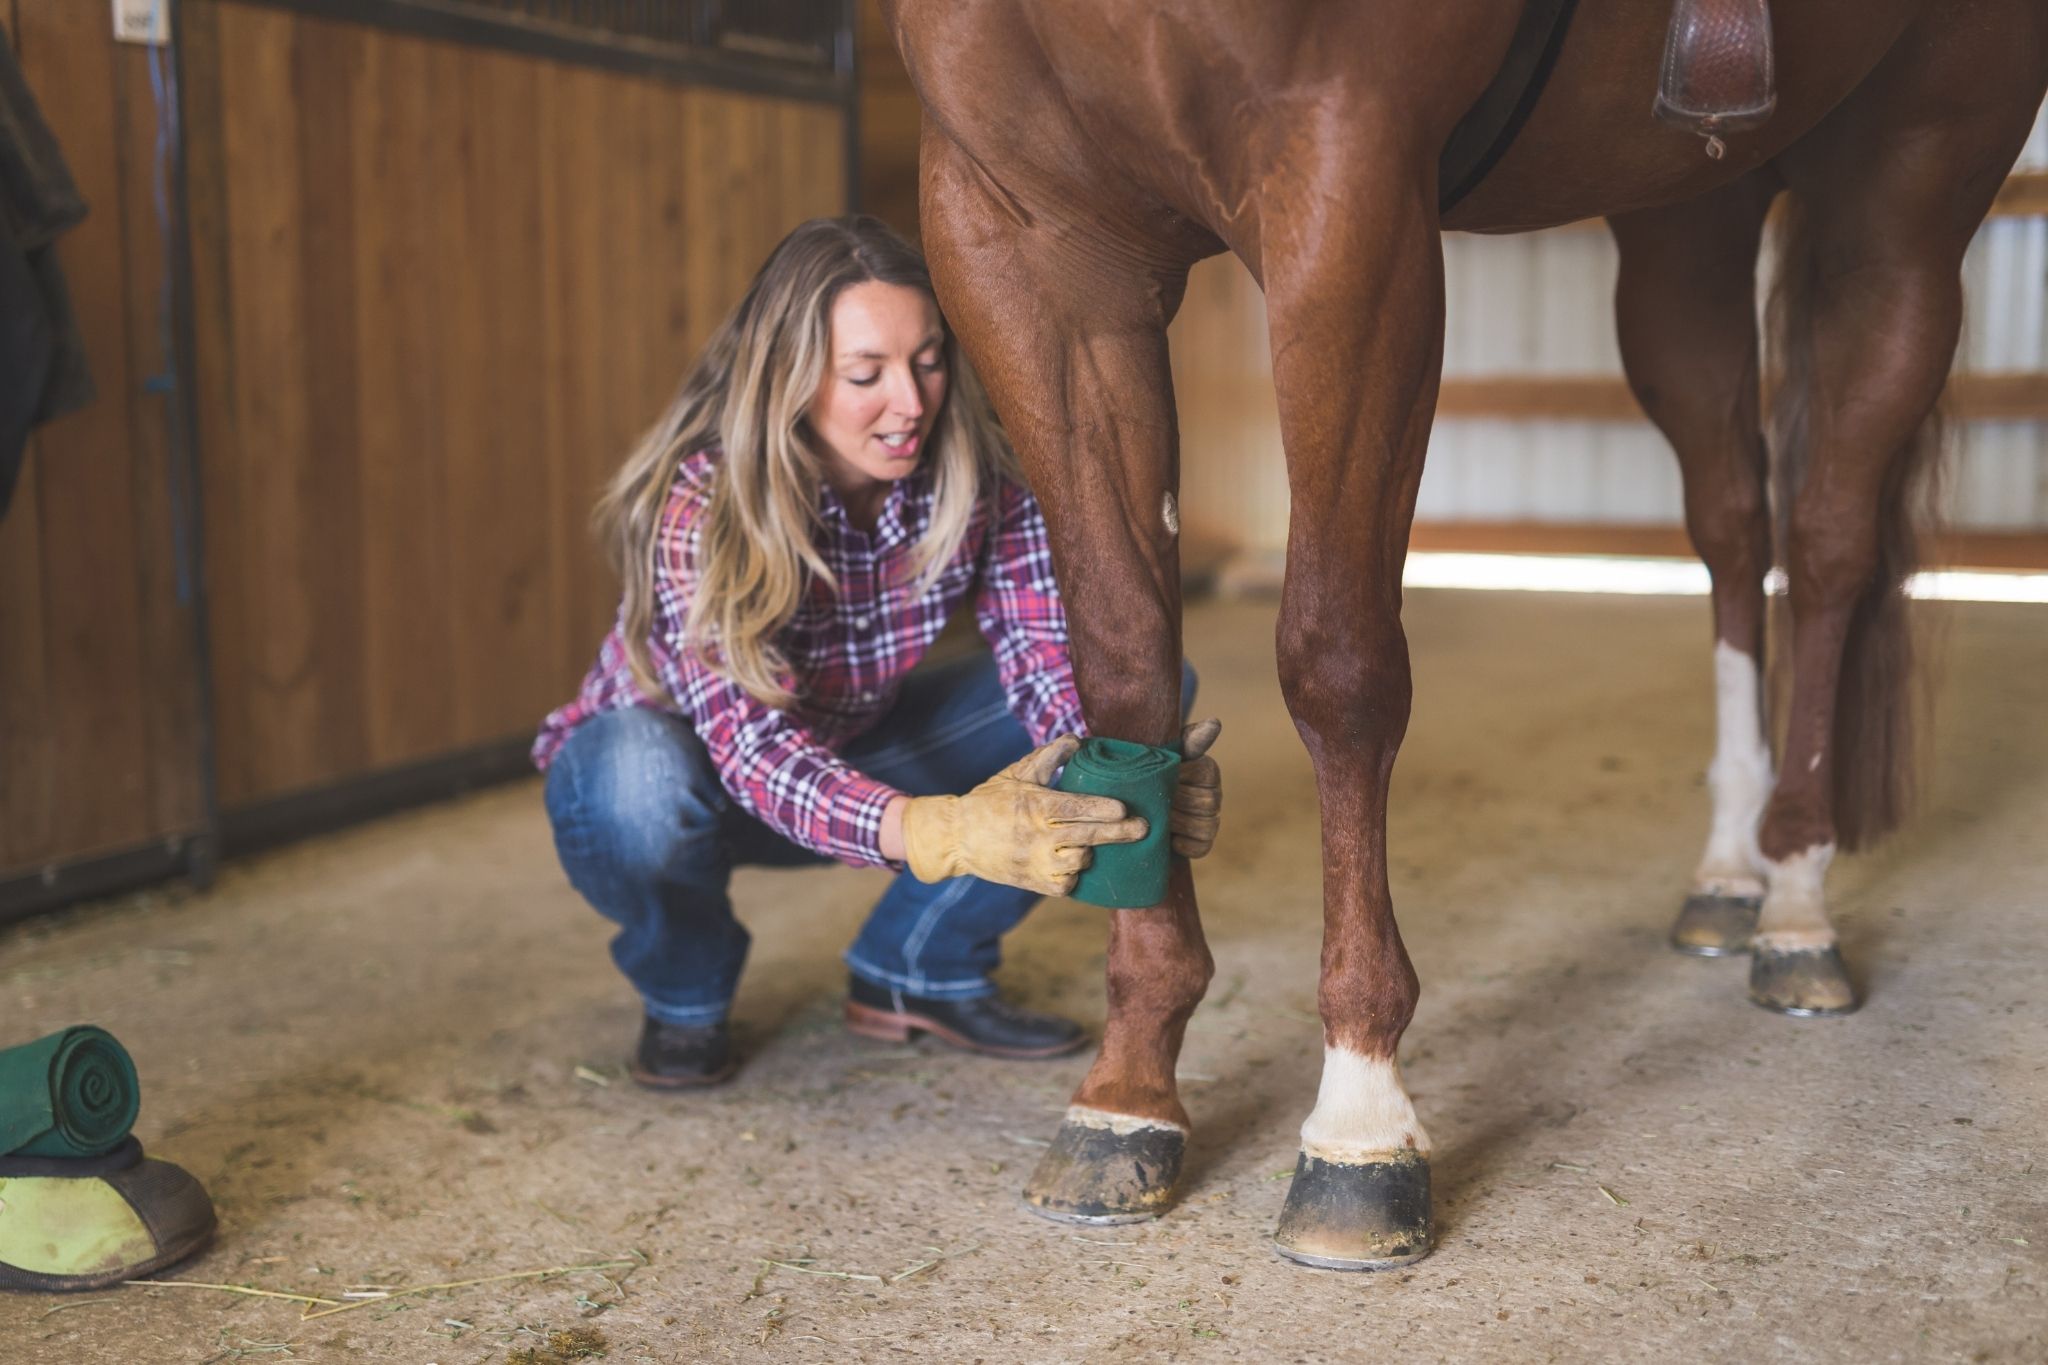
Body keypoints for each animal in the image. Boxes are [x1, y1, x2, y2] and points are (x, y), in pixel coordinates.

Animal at [879, 0, 2048, 1269]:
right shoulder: (1030, 241)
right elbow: (1123, 664)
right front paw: (1128, 1090)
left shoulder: (1348, 197)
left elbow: (1335, 663)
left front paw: (1358, 1117)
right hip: (1689, 214)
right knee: (1734, 521)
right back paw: (1729, 870)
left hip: (1908, 188)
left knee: (1830, 536)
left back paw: (1794, 899)